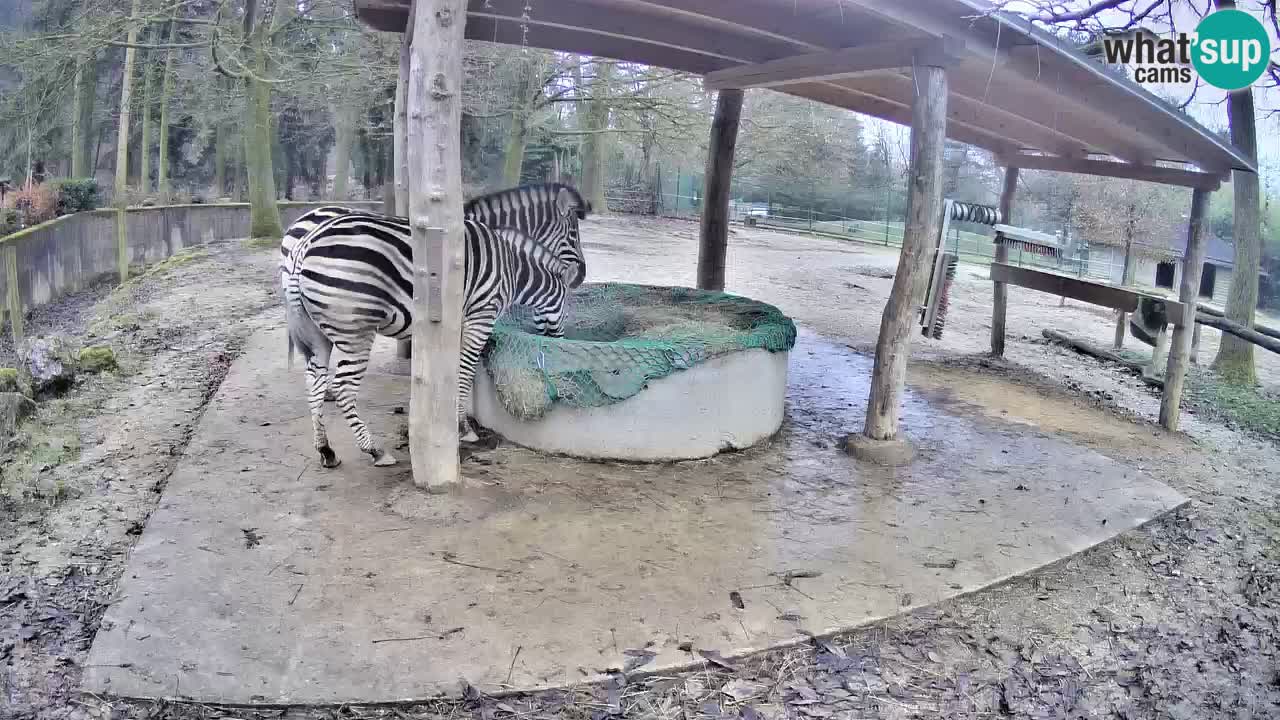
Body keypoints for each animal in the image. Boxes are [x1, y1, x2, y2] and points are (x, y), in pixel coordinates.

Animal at [285, 212, 585, 469]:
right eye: (567, 308)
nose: (560, 343)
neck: (512, 267)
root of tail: (305, 244)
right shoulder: (481, 316)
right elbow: (465, 372)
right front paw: (464, 427)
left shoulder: (461, 324)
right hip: (355, 329)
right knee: (343, 387)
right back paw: (374, 450)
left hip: (318, 333)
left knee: (314, 384)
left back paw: (326, 450)